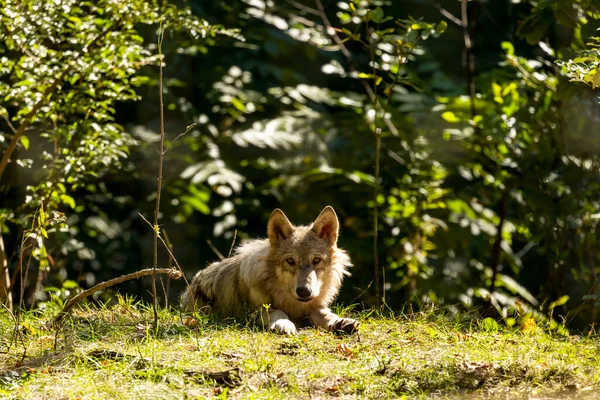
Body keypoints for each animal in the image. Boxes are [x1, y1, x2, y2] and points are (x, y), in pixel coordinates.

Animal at [180, 206, 358, 334]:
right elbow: (278, 312)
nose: (304, 291)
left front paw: (340, 322)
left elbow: (327, 314)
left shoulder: (315, 306)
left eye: (316, 260)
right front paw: (283, 324)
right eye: (290, 261)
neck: (292, 304)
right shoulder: (255, 310)